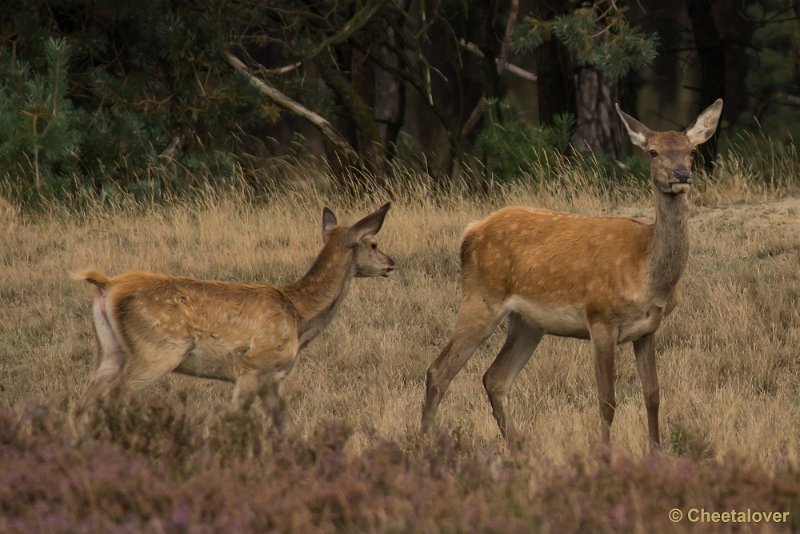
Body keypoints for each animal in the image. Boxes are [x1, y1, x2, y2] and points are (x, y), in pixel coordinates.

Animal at [75, 202, 394, 432]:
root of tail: (107, 285)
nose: (392, 262)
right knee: (113, 396)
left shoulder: (272, 379)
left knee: (86, 401)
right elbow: (232, 419)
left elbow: (285, 427)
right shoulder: (252, 367)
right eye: (374, 243)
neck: (298, 314)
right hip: (157, 350)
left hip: (111, 350)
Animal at [422, 100, 720, 448]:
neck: (647, 273)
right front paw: (604, 450)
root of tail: (469, 232)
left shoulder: (648, 330)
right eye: (653, 151)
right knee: (438, 371)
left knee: (494, 378)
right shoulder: (600, 318)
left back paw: (516, 444)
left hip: (527, 323)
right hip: (480, 299)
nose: (682, 174)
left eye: (691, 150)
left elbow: (653, 395)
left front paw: (656, 450)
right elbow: (607, 400)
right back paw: (426, 441)